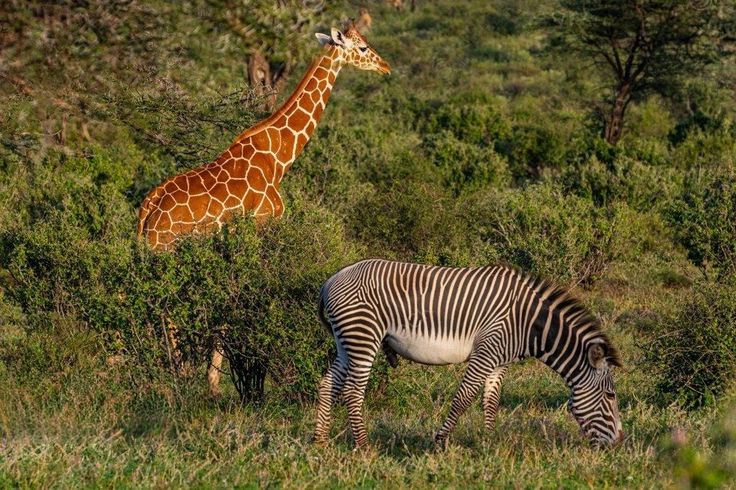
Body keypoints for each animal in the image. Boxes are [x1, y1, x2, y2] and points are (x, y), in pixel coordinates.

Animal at [137, 23, 391, 395]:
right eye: (361, 47)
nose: (385, 66)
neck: (279, 158)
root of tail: (147, 213)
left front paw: (217, 376)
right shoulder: (262, 228)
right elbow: (251, 295)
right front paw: (224, 378)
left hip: (147, 255)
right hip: (168, 252)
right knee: (164, 306)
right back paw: (176, 371)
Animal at [314, 259, 624, 448]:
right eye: (611, 396)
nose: (620, 441)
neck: (527, 322)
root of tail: (330, 280)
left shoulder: (500, 361)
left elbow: (491, 401)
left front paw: (488, 442)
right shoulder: (486, 352)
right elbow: (463, 397)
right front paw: (440, 441)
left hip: (346, 341)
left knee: (328, 384)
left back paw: (321, 441)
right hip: (363, 336)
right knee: (353, 391)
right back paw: (364, 446)